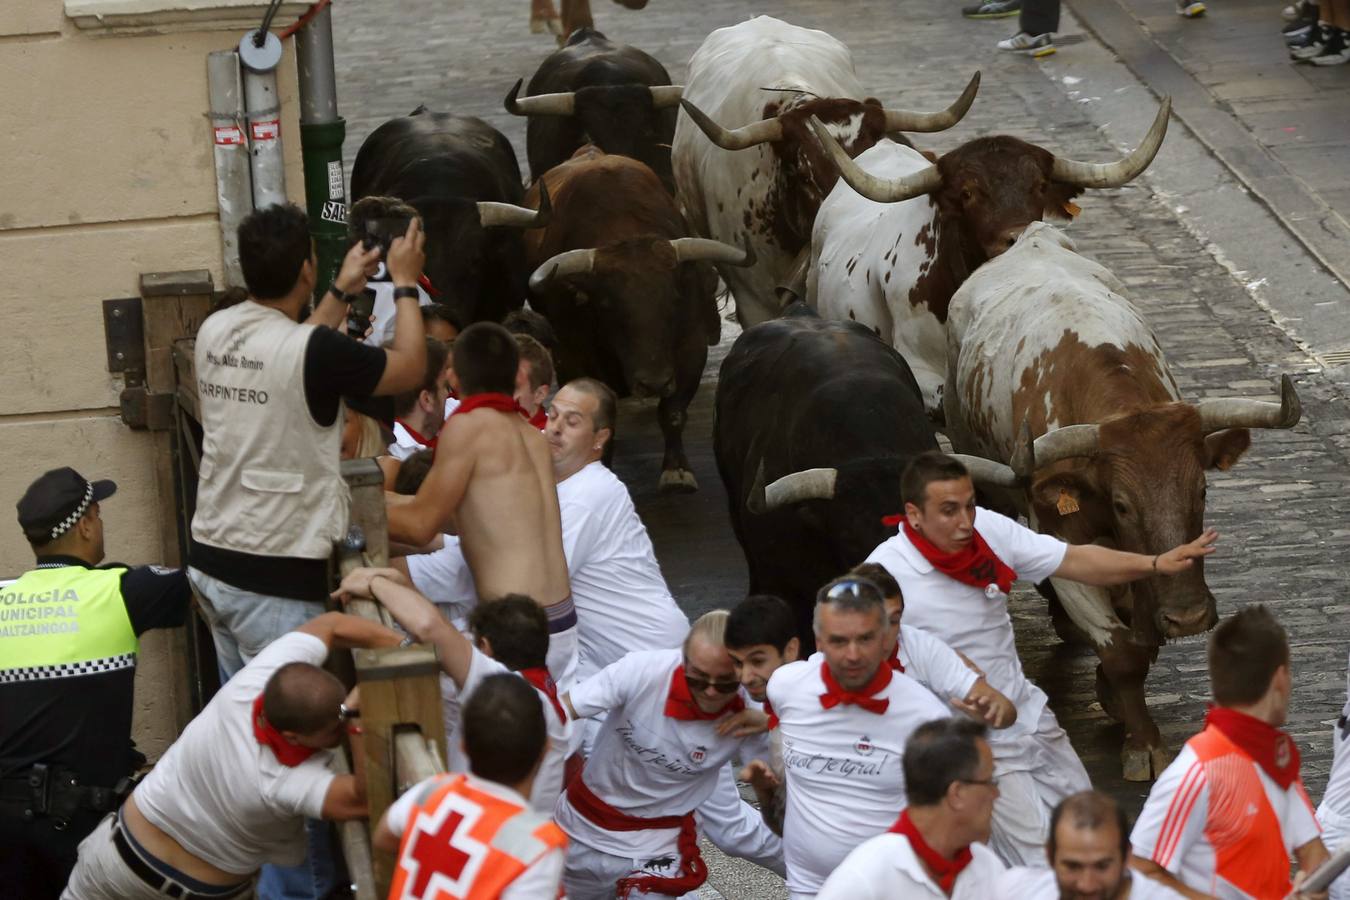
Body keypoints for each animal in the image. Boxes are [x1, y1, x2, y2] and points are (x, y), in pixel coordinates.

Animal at [939, 223, 1296, 782]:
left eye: (1201, 491)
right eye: (1124, 504)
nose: (1190, 617)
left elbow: (1141, 639)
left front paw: (1118, 701)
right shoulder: (1062, 541)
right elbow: (1123, 649)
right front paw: (1142, 741)